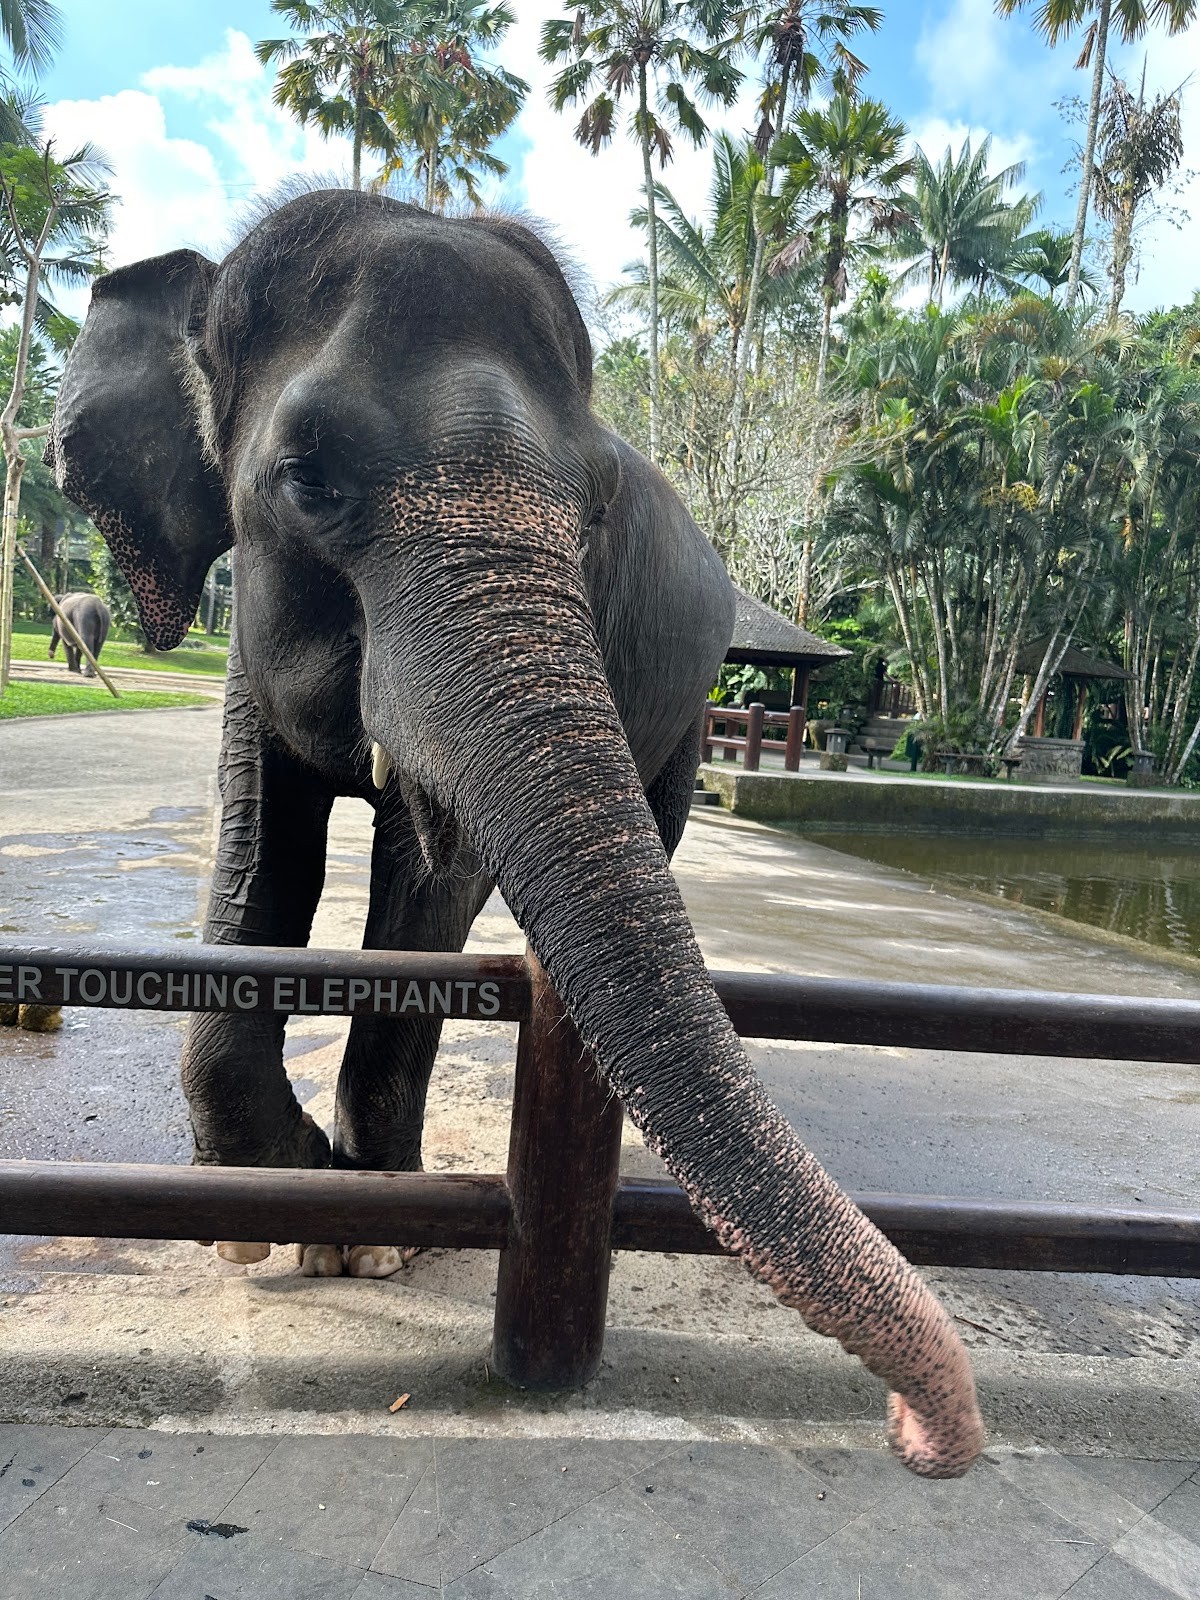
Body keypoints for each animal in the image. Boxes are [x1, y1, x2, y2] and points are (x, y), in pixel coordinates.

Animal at [46, 187, 982, 1478]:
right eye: (305, 477)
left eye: (593, 510)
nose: (922, 1436)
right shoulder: (248, 663)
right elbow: (261, 854)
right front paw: (263, 1213)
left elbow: (431, 881)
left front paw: (365, 1239)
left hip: (687, 699)